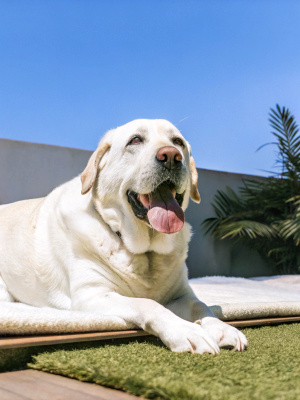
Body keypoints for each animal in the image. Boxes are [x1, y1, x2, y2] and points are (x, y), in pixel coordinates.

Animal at [0, 119, 246, 354]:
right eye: (135, 140)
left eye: (178, 142)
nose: (171, 156)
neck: (146, 253)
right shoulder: (92, 295)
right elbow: (147, 303)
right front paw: (187, 331)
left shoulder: (182, 295)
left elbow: (201, 305)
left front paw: (223, 329)